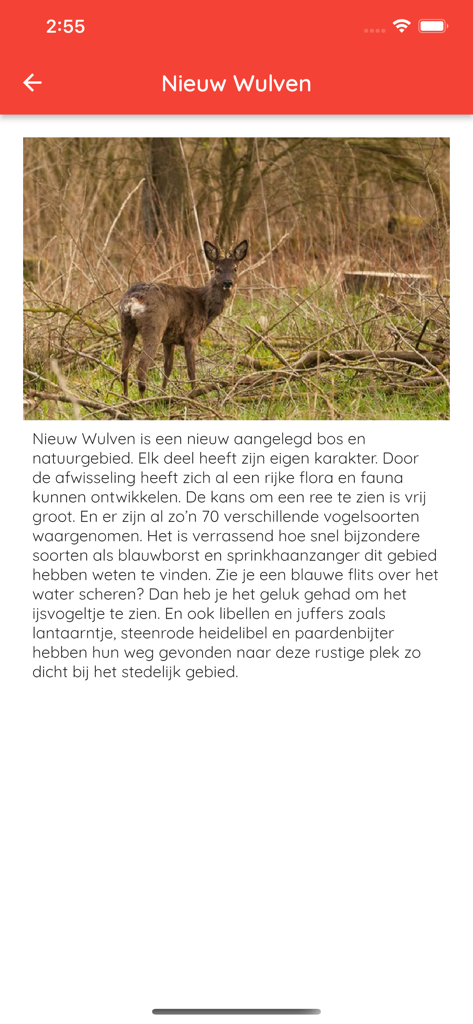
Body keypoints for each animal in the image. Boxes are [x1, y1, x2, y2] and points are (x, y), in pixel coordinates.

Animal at [119, 238, 248, 397]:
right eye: (218, 269)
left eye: (235, 268)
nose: (228, 282)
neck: (205, 307)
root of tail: (133, 299)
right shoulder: (191, 335)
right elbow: (191, 370)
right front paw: (193, 396)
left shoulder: (169, 340)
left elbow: (168, 367)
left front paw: (163, 395)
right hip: (154, 326)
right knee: (141, 367)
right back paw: (142, 400)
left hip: (126, 326)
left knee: (124, 364)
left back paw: (126, 398)